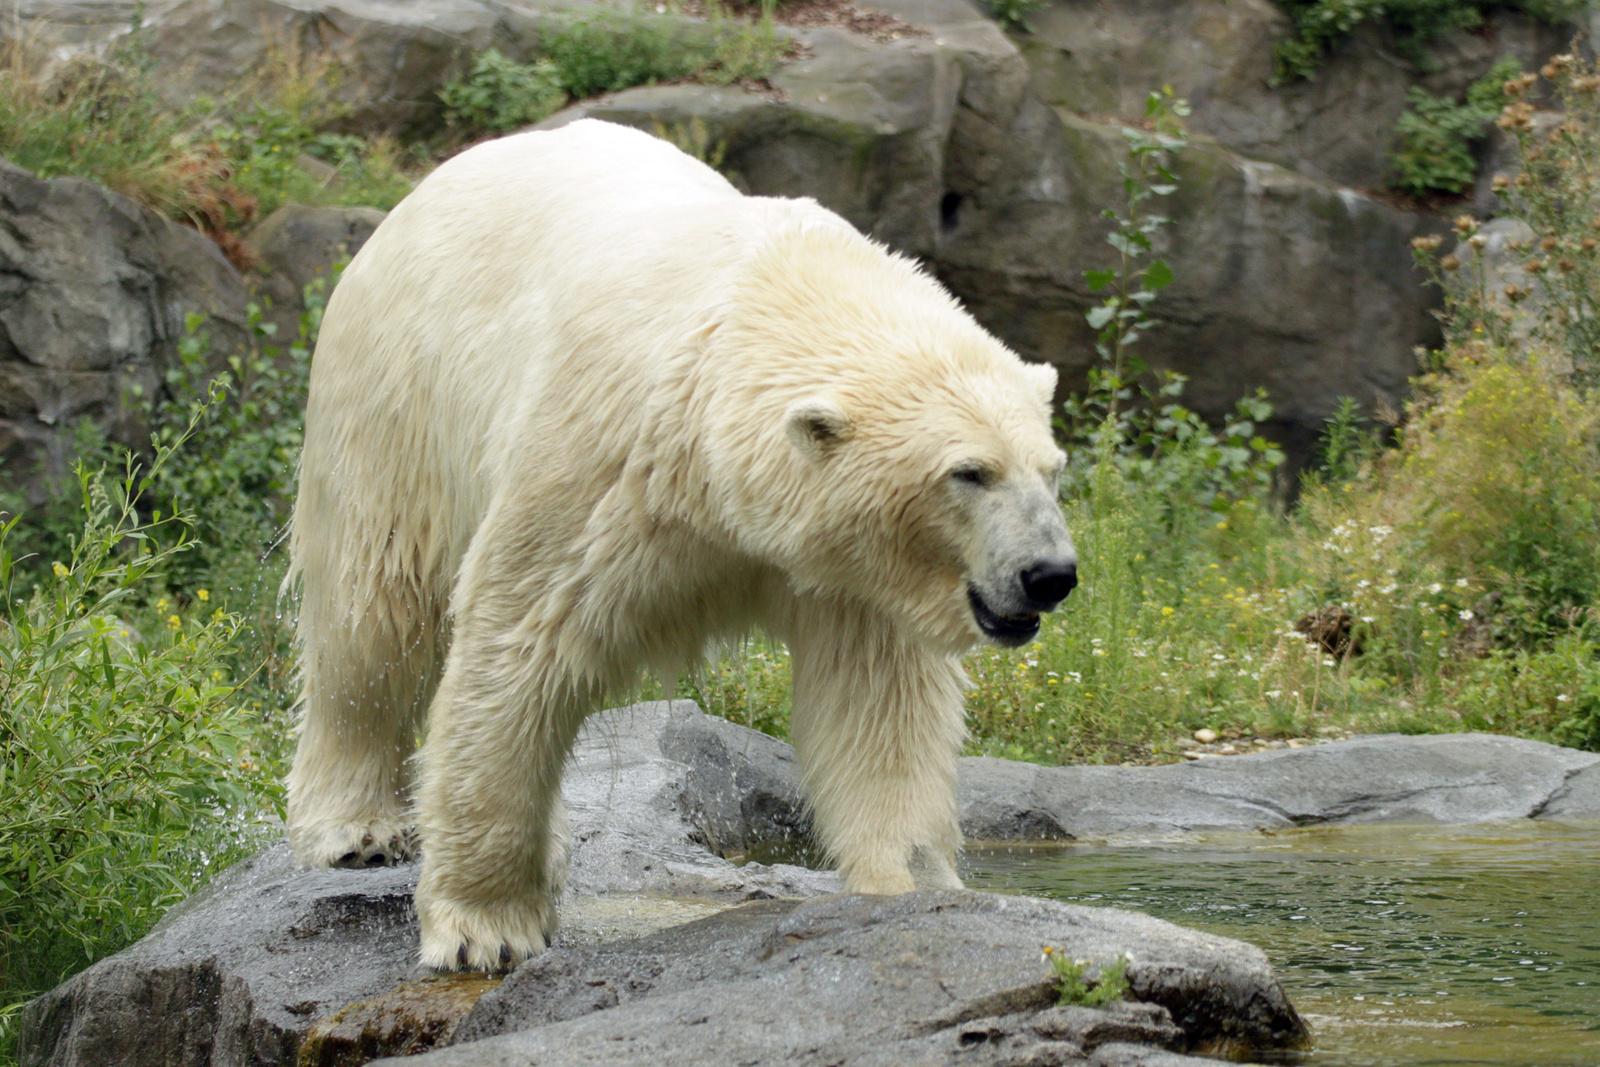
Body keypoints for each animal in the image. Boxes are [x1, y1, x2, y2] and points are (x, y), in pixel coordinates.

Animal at [288, 119, 1081, 979]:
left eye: (1051, 468)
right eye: (968, 472)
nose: (1049, 575)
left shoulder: (848, 569)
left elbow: (878, 699)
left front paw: (911, 880)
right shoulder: (602, 466)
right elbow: (518, 644)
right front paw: (483, 928)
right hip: (393, 395)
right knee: (371, 609)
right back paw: (357, 826)